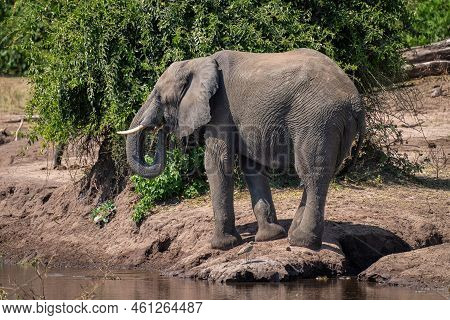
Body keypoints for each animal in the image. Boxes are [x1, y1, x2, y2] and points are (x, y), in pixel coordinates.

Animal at [118, 49, 366, 250]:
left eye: (159, 96)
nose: (159, 126)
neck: (198, 62)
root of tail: (355, 100)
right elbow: (251, 167)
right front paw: (269, 237)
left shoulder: (220, 111)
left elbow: (217, 164)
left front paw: (222, 245)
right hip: (336, 125)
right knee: (320, 173)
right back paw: (293, 235)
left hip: (318, 120)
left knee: (312, 174)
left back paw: (302, 242)